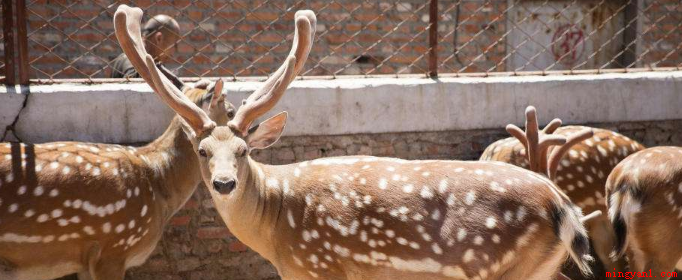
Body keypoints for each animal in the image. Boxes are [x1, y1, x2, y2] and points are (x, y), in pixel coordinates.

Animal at [118, 4, 596, 280]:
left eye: (244, 151)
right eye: (202, 151)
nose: (223, 183)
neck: (277, 233)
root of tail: (564, 208)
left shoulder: (321, 267)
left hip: (503, 266)